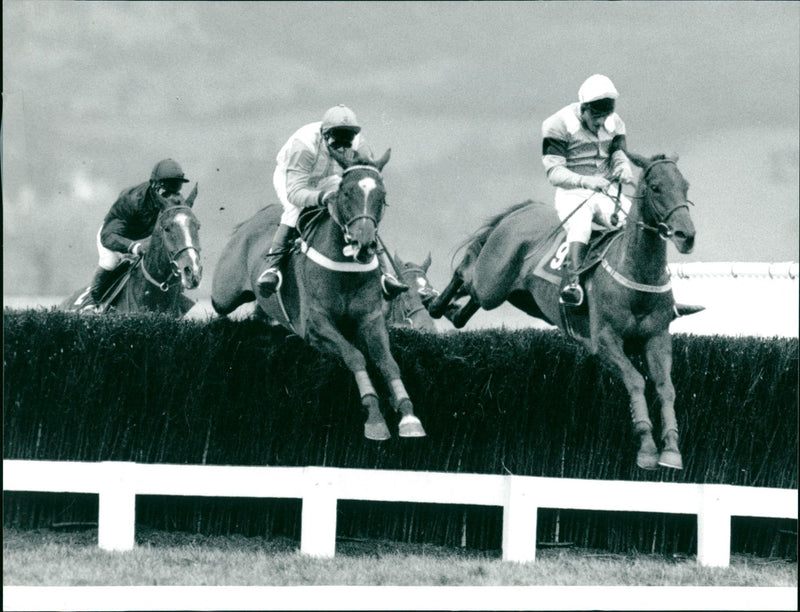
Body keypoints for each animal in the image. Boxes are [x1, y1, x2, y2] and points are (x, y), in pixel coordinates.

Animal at [428, 153, 696, 468]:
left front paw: (671, 449)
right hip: (491, 283)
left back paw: (450, 310)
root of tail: (524, 210)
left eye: (685, 186)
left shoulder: (657, 338)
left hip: (521, 298)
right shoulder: (604, 340)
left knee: (467, 307)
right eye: (655, 187)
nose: (686, 235)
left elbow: (666, 388)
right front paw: (646, 447)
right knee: (465, 273)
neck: (636, 274)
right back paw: (433, 302)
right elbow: (635, 380)